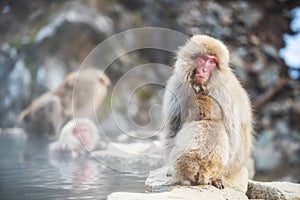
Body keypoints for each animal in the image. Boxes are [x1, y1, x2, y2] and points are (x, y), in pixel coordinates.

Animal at [163, 34, 254, 192]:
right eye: (203, 58)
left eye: (212, 62)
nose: (204, 70)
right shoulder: (177, 85)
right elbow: (173, 127)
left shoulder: (223, 93)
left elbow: (231, 135)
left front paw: (217, 177)